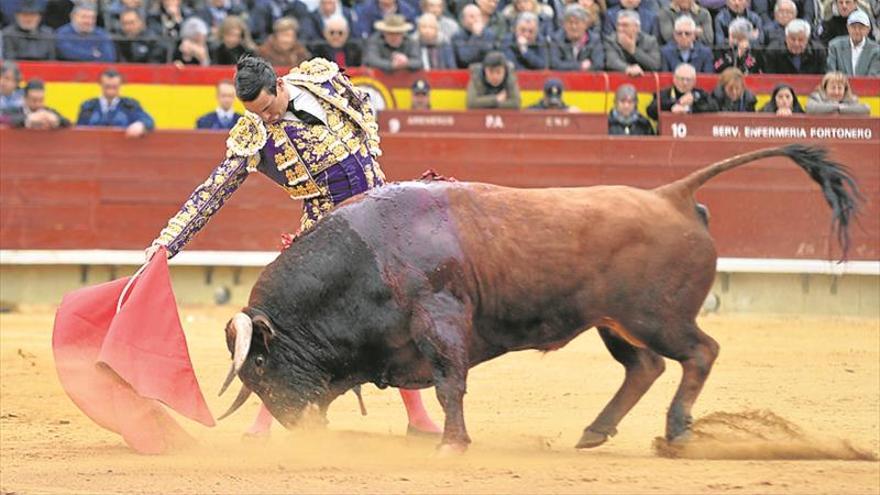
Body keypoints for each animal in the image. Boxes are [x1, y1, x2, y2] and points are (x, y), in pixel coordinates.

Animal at [215, 144, 860, 454]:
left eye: (263, 367)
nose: (295, 425)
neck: (366, 255)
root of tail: (671, 194)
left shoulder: (441, 320)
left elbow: (450, 383)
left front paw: (452, 445)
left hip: (657, 316)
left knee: (698, 353)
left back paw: (677, 432)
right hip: (614, 322)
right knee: (645, 367)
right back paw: (595, 432)